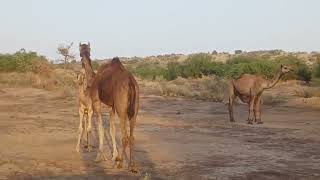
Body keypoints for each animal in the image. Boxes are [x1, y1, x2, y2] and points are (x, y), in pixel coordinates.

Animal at [78, 42, 139, 173]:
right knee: (131, 136)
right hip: (134, 109)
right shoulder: (113, 106)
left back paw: (119, 163)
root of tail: (131, 82)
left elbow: (101, 127)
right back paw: (132, 166)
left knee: (125, 137)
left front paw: (99, 156)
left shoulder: (96, 101)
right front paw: (113, 155)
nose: (83, 58)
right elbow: (112, 129)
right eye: (82, 51)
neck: (93, 79)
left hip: (122, 109)